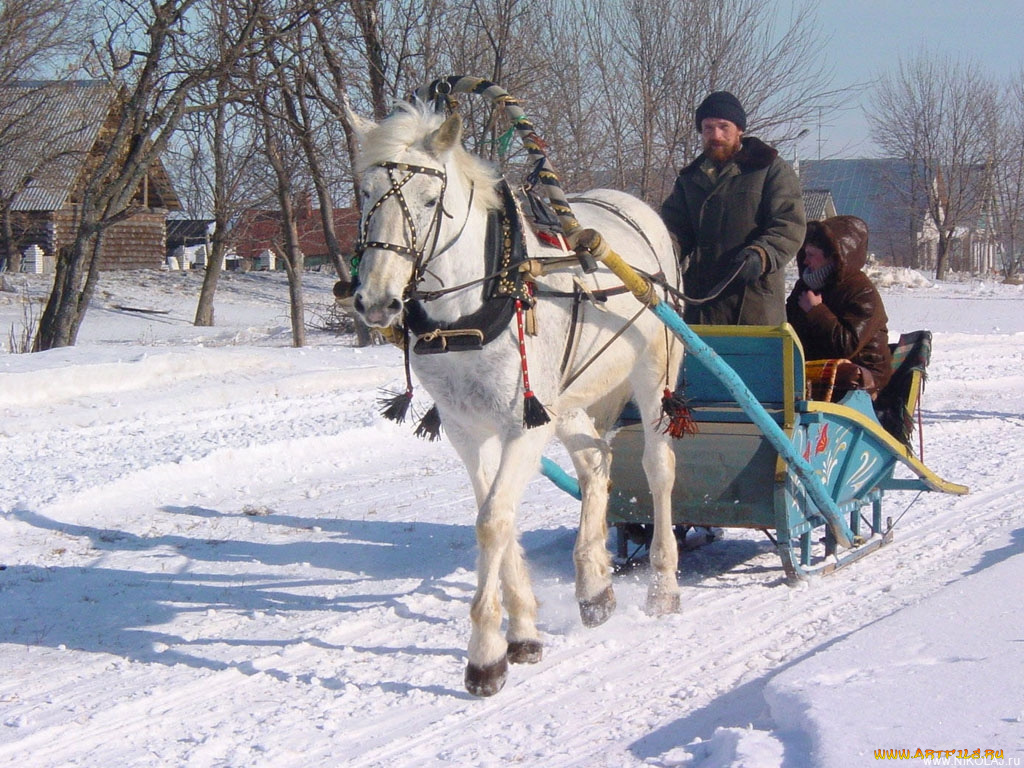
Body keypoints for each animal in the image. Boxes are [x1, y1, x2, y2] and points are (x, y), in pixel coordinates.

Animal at [349, 100, 683, 696]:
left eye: (431, 200)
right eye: (365, 193)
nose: (377, 301)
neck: (469, 313)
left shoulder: (524, 425)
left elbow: (493, 521)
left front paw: (485, 656)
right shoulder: (467, 429)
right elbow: (493, 515)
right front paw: (523, 631)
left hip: (653, 374)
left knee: (657, 467)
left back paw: (663, 585)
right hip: (566, 398)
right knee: (597, 465)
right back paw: (594, 588)